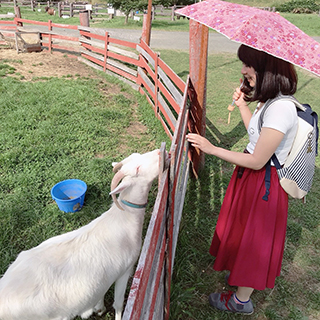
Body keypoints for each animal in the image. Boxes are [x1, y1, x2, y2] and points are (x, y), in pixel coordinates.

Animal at [0, 150, 160, 320]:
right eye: (137, 168)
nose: (158, 152)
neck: (125, 217)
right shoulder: (125, 270)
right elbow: (118, 304)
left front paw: (99, 308)